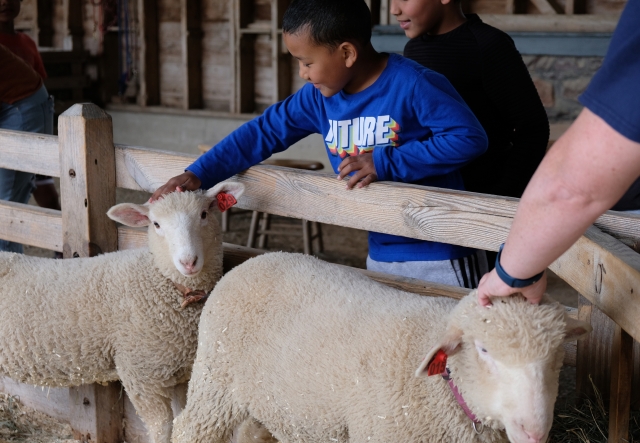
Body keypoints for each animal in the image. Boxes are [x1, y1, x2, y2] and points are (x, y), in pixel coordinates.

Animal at [0, 181, 245, 443]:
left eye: (204, 214)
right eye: (156, 224)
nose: (188, 262)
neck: (162, 281)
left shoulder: (181, 374)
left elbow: (179, 420)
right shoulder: (140, 374)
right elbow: (162, 428)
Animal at [172, 251, 591, 443]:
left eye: (557, 357)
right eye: (484, 351)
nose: (534, 431)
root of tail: (255, 260)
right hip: (214, 381)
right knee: (189, 429)